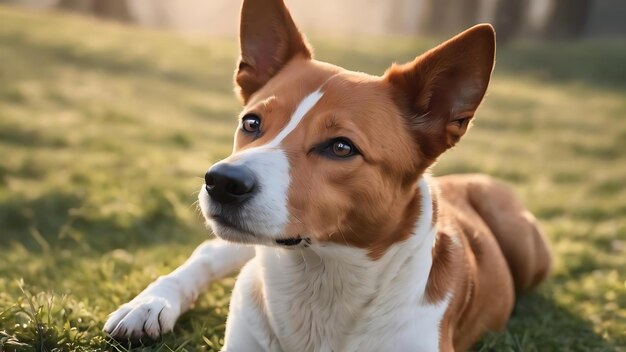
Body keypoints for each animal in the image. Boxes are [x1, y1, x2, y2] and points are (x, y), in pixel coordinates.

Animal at [103, 1, 552, 350]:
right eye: (251, 122)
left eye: (341, 147)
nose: (222, 181)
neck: (319, 279)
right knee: (209, 252)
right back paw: (149, 305)